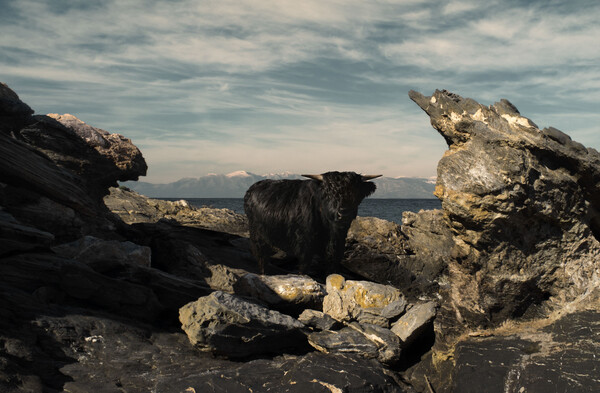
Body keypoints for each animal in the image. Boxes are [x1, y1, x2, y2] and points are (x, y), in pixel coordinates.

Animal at [243, 172, 380, 272]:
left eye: (356, 193)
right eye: (328, 194)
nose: (344, 213)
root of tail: (251, 189)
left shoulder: (338, 244)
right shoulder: (304, 245)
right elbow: (304, 266)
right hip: (257, 233)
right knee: (261, 255)